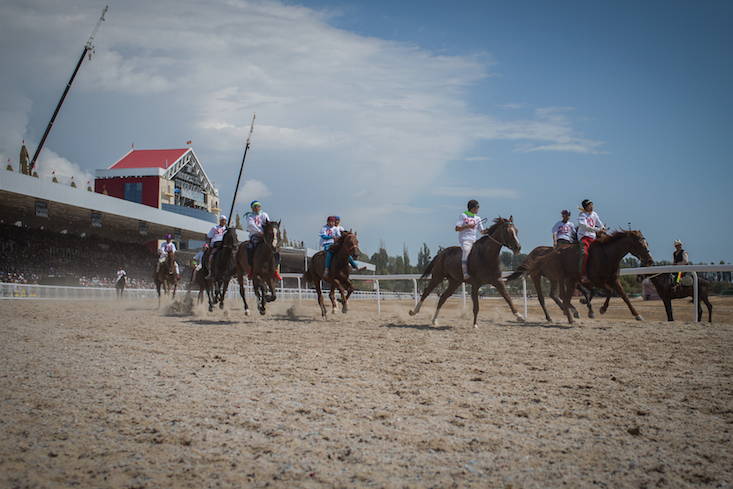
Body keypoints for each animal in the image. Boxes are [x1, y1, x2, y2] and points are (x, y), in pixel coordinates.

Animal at [508, 230, 652, 324]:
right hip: (537, 276)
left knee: (553, 294)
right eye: (640, 244)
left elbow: (624, 296)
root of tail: (532, 253)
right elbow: (604, 291)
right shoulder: (591, 279)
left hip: (553, 278)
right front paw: (599, 309)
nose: (650, 260)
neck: (606, 255)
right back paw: (551, 317)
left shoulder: (612, 279)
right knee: (542, 298)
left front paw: (637, 315)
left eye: (647, 243)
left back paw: (568, 310)